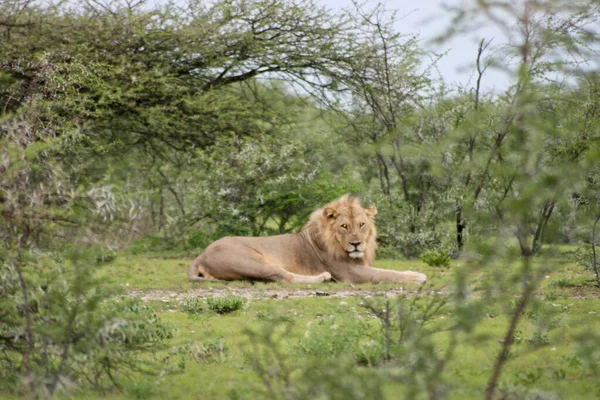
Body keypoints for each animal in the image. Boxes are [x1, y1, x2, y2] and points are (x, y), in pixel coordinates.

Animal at [188, 195, 426, 284]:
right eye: (344, 226)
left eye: (361, 225)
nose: (356, 244)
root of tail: (200, 255)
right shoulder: (349, 272)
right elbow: (386, 274)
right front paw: (418, 277)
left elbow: (390, 270)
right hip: (251, 260)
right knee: (283, 276)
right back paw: (322, 278)